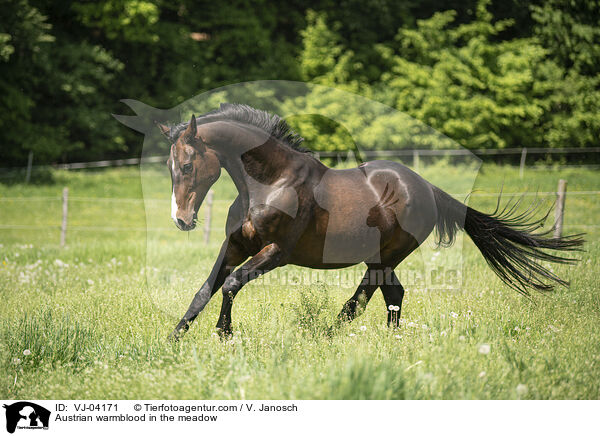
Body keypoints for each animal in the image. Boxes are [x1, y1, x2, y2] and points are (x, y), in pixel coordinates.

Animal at [157, 103, 584, 340]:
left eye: (187, 165)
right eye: (170, 167)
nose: (181, 220)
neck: (269, 183)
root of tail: (427, 188)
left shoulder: (277, 252)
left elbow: (230, 285)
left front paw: (224, 334)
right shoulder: (235, 245)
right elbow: (205, 289)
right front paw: (174, 339)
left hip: (385, 256)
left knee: (364, 299)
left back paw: (332, 334)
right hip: (380, 259)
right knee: (391, 295)